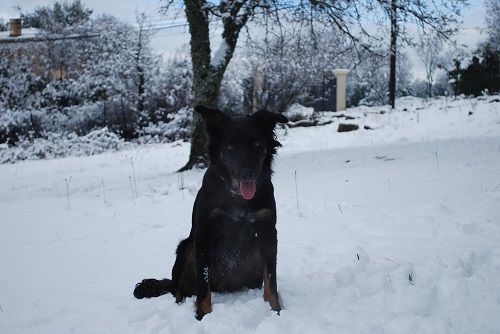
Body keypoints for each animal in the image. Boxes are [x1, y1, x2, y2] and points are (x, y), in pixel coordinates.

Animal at [133, 105, 290, 320]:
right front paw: (202, 316)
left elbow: (270, 280)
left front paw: (276, 311)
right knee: (178, 290)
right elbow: (203, 284)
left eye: (257, 144)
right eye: (230, 147)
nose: (247, 174)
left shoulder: (267, 232)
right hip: (186, 248)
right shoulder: (204, 234)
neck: (237, 196)